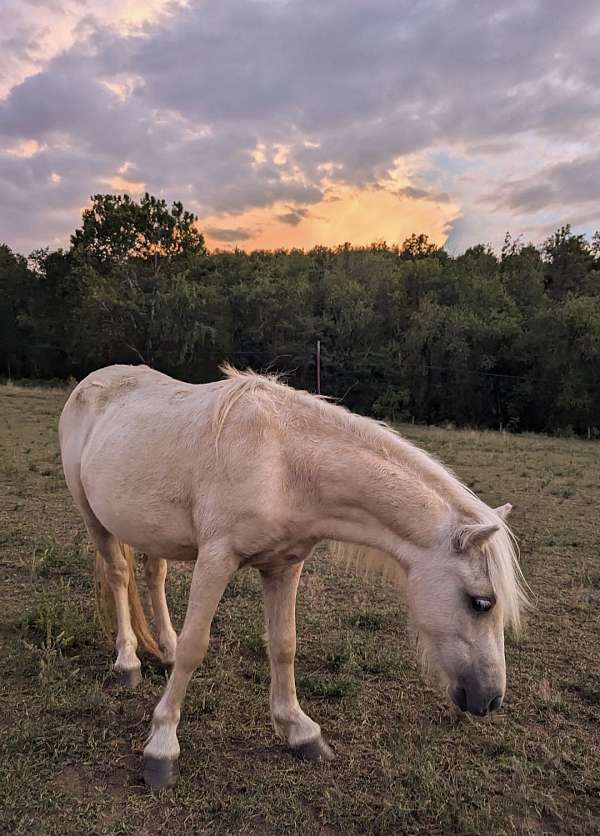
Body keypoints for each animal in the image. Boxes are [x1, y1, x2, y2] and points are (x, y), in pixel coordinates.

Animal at [58, 364, 528, 784]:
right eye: (481, 602)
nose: (491, 699)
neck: (284, 463)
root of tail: (92, 381)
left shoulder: (284, 566)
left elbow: (284, 644)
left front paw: (301, 732)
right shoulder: (216, 559)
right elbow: (197, 646)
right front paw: (162, 745)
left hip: (152, 530)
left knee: (154, 575)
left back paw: (165, 649)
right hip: (92, 518)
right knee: (119, 576)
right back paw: (127, 662)